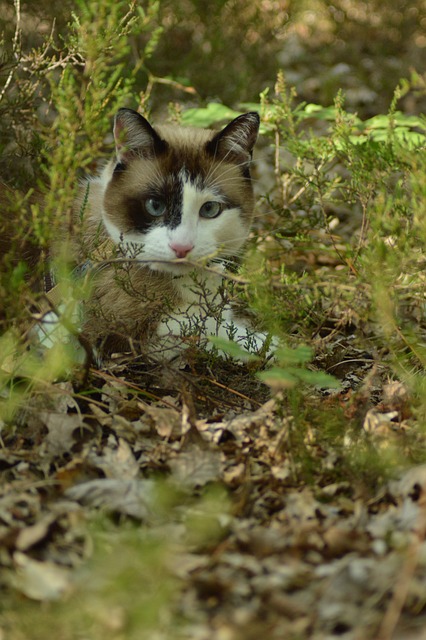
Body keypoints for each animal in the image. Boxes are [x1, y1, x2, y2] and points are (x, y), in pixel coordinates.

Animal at [65, 110, 272, 360]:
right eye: (155, 206)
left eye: (210, 209)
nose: (181, 247)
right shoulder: (116, 339)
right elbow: (205, 332)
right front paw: (267, 344)